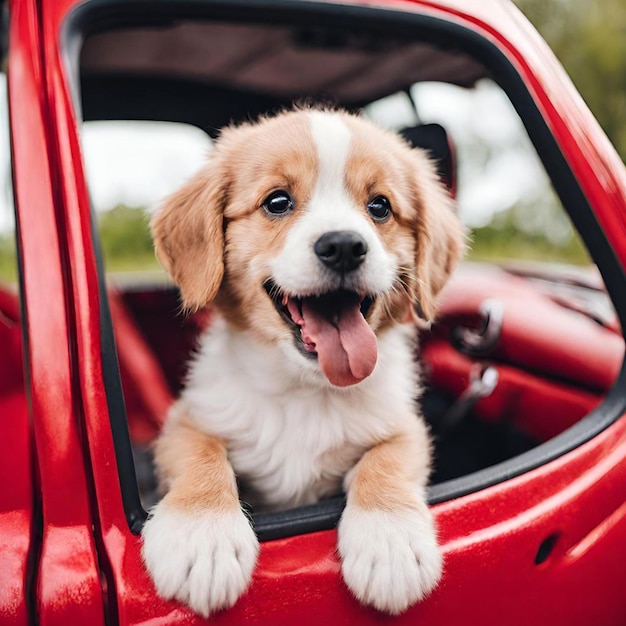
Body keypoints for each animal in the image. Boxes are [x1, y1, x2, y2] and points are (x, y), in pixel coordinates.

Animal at [141, 106, 464, 616]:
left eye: (380, 207)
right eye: (277, 201)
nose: (344, 246)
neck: (306, 390)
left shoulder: (406, 427)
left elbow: (386, 459)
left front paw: (390, 542)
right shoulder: (187, 420)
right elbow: (200, 455)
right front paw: (203, 538)